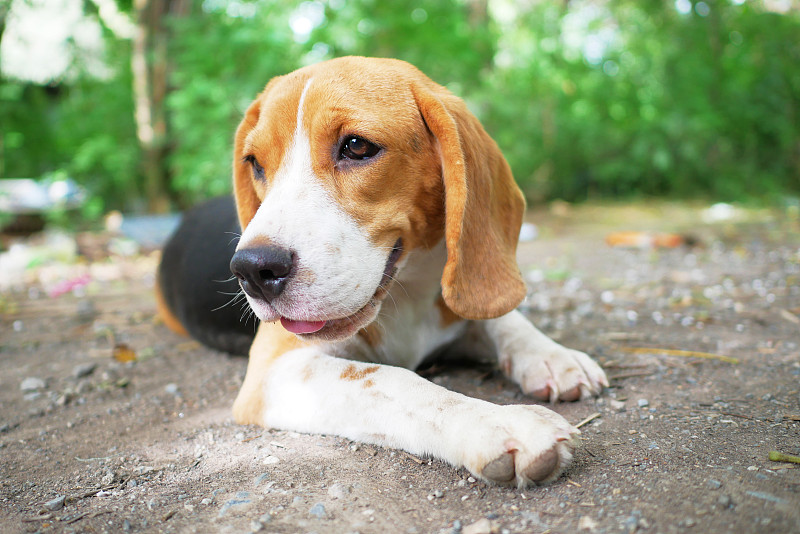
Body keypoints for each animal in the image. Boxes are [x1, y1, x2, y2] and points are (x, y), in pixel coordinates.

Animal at [156, 56, 608, 488]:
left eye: (357, 146)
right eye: (254, 163)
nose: (251, 270)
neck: (407, 295)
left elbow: (502, 320)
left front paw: (554, 357)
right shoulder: (273, 372)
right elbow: (396, 383)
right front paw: (498, 423)